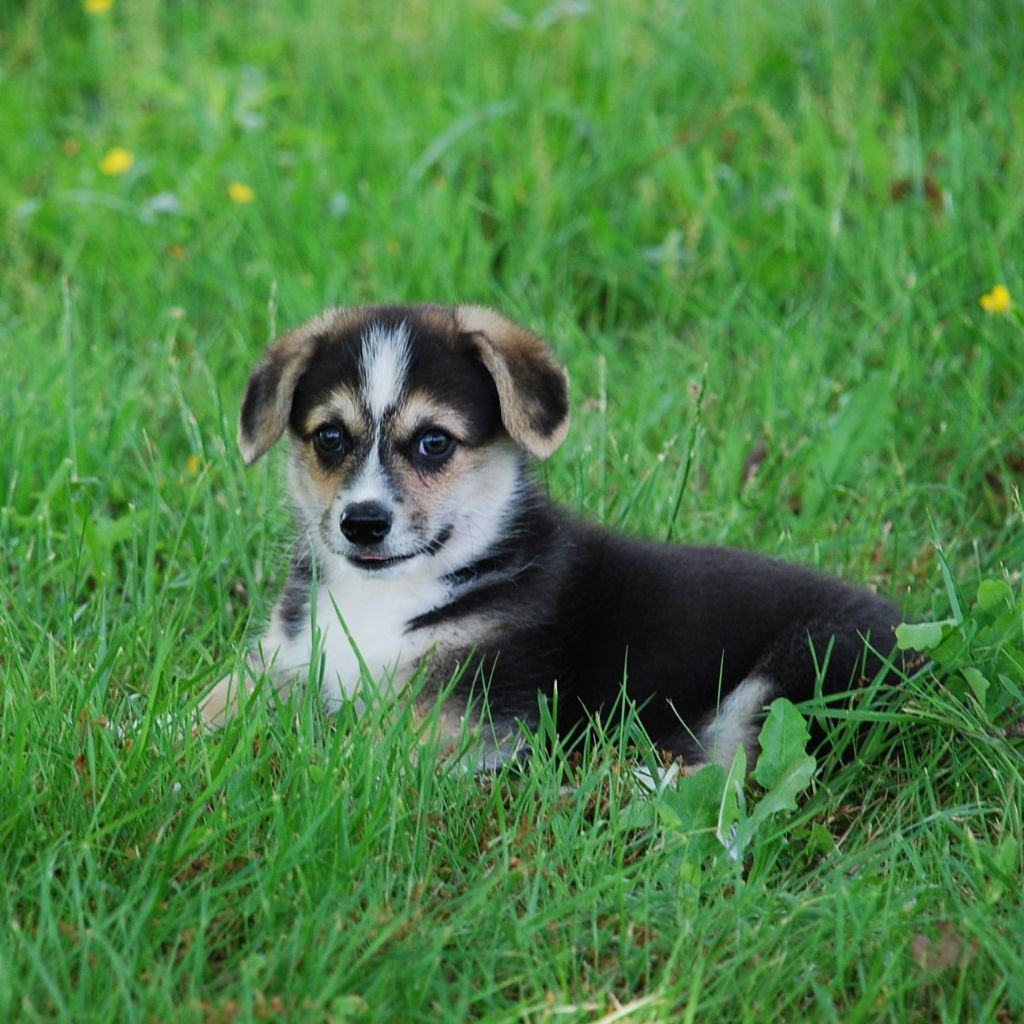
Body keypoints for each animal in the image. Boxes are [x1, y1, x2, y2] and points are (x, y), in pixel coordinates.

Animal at [201, 303, 905, 770]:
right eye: (329, 437)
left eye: (434, 442)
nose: (363, 522)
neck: (392, 596)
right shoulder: (285, 656)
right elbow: (213, 700)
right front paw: (179, 740)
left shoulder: (469, 715)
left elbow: (352, 749)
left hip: (805, 668)